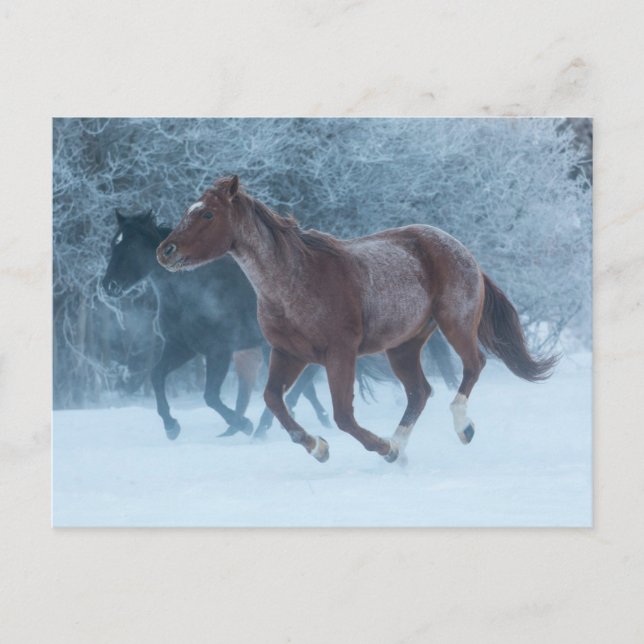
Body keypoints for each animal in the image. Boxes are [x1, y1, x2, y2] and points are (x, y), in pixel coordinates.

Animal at [102, 209, 330, 439]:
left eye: (131, 245)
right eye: (113, 244)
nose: (109, 285)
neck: (187, 298)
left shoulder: (218, 351)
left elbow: (210, 396)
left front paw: (242, 424)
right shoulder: (181, 348)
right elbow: (156, 375)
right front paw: (171, 426)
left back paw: (266, 428)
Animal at [157, 176, 557, 463]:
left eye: (207, 214)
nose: (165, 251)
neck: (293, 282)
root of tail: (460, 249)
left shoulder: (340, 353)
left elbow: (343, 416)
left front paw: (374, 447)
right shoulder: (288, 354)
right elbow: (273, 399)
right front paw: (318, 447)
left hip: (455, 323)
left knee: (474, 365)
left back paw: (460, 429)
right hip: (403, 346)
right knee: (419, 391)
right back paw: (399, 446)